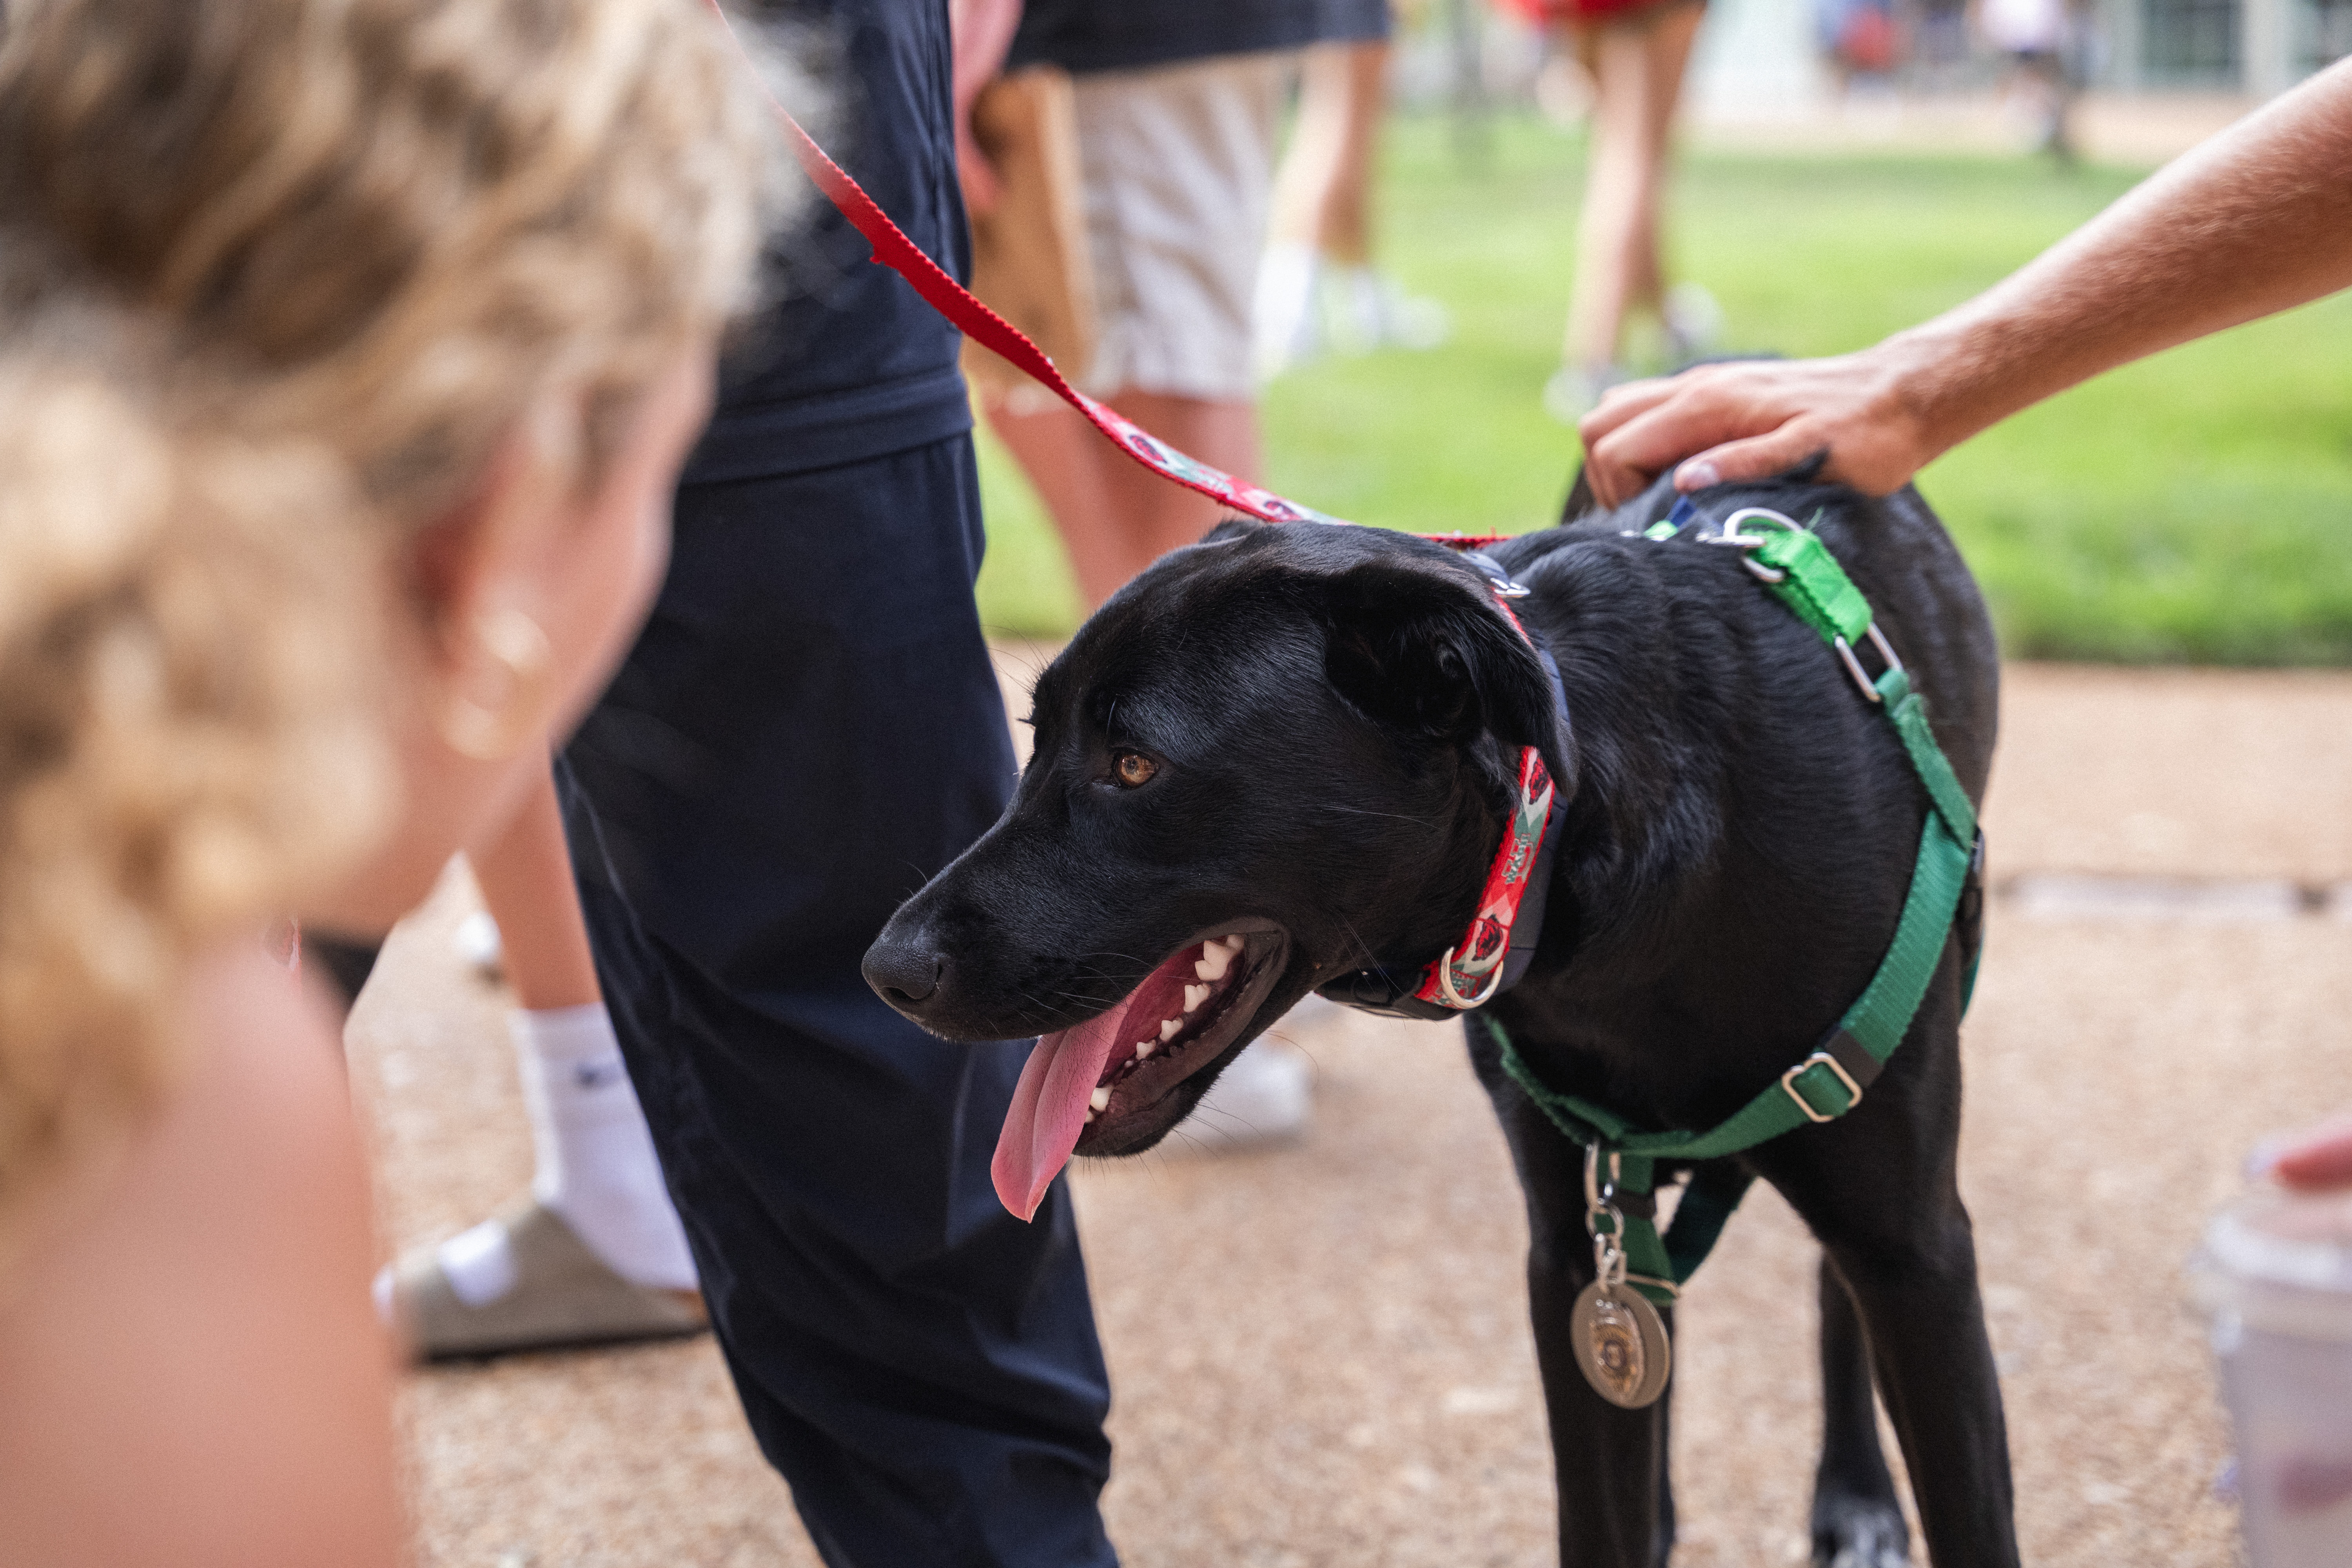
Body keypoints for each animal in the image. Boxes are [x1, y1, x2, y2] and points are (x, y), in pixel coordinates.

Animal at [866, 479, 2004, 1568]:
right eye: (1038, 740)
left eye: (1134, 764)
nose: (886, 973)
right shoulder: (1573, 1257)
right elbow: (1603, 1501)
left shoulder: (1921, 1256)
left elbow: (1966, 1507)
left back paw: (1856, 1498)